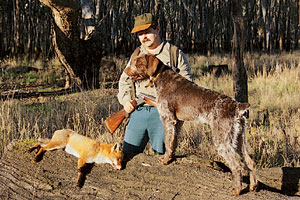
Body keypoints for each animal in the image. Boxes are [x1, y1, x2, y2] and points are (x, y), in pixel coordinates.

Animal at [124, 54, 258, 195]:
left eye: (139, 64)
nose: (126, 71)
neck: (161, 76)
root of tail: (237, 106)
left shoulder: (168, 119)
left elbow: (168, 141)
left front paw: (165, 160)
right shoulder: (177, 122)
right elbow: (173, 142)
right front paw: (171, 157)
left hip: (222, 139)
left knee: (237, 166)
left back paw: (237, 190)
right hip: (238, 138)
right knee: (250, 162)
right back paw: (252, 186)